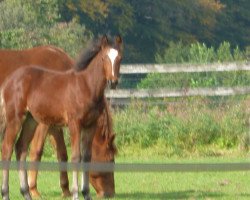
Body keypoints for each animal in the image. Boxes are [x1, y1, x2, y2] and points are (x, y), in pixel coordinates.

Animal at [0, 35, 121, 198]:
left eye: (120, 58)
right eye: (110, 159)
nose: (109, 193)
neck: (82, 84)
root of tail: (10, 81)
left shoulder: (64, 124)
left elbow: (66, 154)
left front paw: (69, 190)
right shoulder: (57, 123)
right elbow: (42, 152)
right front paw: (37, 190)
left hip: (30, 120)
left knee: (20, 148)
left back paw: (25, 193)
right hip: (16, 119)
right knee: (7, 149)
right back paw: (7, 193)